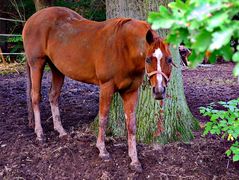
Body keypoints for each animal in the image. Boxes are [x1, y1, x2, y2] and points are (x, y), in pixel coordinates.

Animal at [22, 7, 173, 172]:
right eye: (148, 59)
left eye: (169, 59)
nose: (159, 91)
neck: (124, 48)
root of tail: (31, 20)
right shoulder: (106, 87)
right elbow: (103, 117)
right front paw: (102, 150)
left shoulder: (131, 91)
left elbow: (131, 125)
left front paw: (134, 160)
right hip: (37, 64)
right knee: (35, 97)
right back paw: (40, 134)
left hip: (57, 69)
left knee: (53, 96)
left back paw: (61, 131)